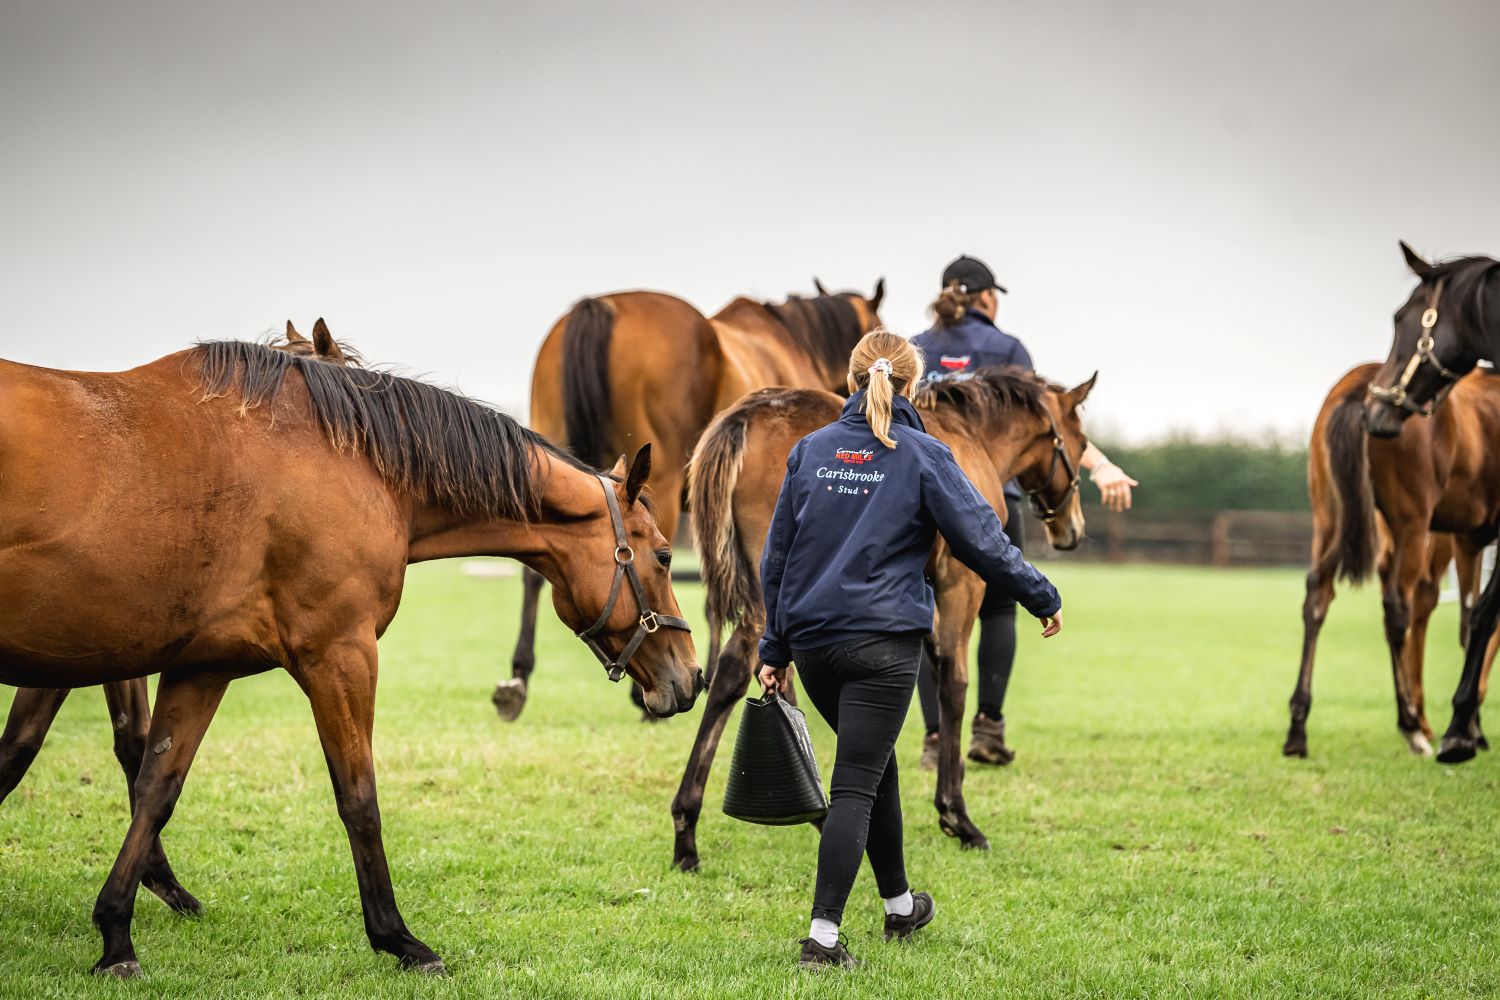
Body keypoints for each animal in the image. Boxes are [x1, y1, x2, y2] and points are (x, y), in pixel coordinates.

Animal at [1284, 362, 1500, 758]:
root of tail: (1359, 385)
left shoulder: (1468, 538)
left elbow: (1469, 619)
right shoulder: (1470, 537)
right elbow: (1477, 619)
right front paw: (1469, 729)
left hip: (1328, 516)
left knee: (1317, 598)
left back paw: (1297, 729)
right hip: (1411, 524)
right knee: (1400, 607)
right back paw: (1413, 726)